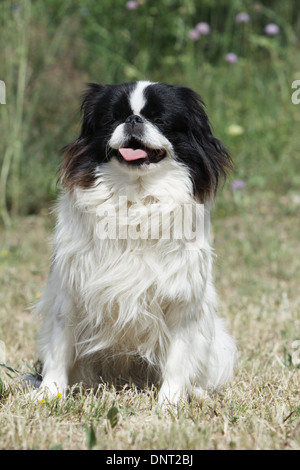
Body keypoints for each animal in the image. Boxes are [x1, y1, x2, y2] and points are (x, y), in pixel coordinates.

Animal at [34, 81, 237, 404]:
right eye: (112, 119)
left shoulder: (181, 299)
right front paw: (49, 393)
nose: (133, 120)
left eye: (160, 119)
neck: (136, 196)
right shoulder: (70, 291)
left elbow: (179, 358)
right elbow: (58, 347)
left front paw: (170, 403)